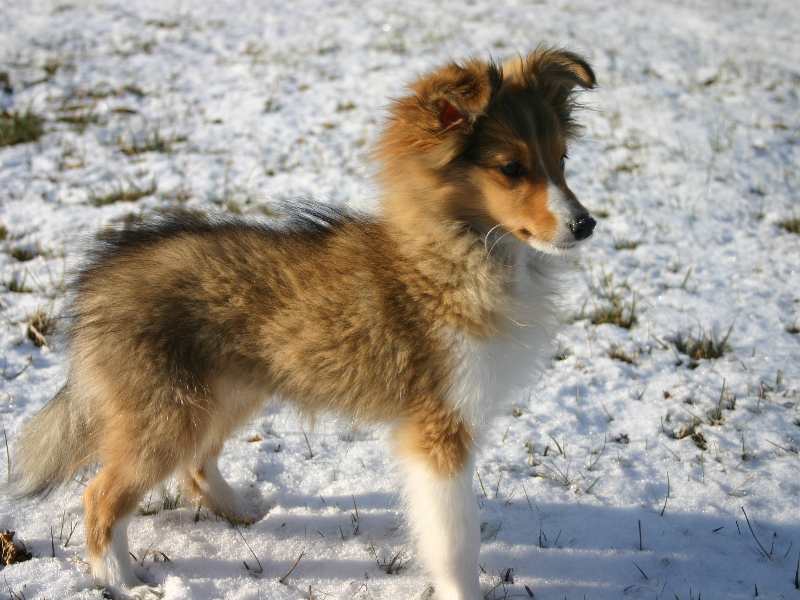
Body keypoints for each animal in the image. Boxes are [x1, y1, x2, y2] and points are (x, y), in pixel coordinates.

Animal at [12, 48, 592, 600]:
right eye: (511, 168)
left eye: (562, 159)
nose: (586, 225)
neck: (456, 254)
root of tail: (102, 276)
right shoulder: (439, 428)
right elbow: (455, 540)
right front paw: (463, 591)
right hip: (166, 412)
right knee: (101, 495)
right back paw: (122, 582)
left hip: (223, 393)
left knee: (197, 466)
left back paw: (242, 511)